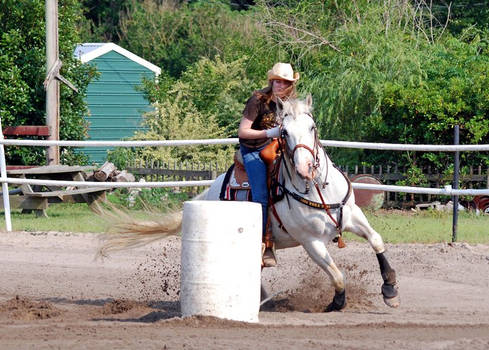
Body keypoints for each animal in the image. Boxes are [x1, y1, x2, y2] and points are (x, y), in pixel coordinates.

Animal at [105, 94, 398, 310]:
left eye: (312, 127)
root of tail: (211, 190)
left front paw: (390, 289)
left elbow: (376, 240)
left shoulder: (353, 216)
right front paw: (336, 302)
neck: (316, 189)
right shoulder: (311, 242)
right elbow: (337, 274)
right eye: (284, 132)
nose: (305, 168)